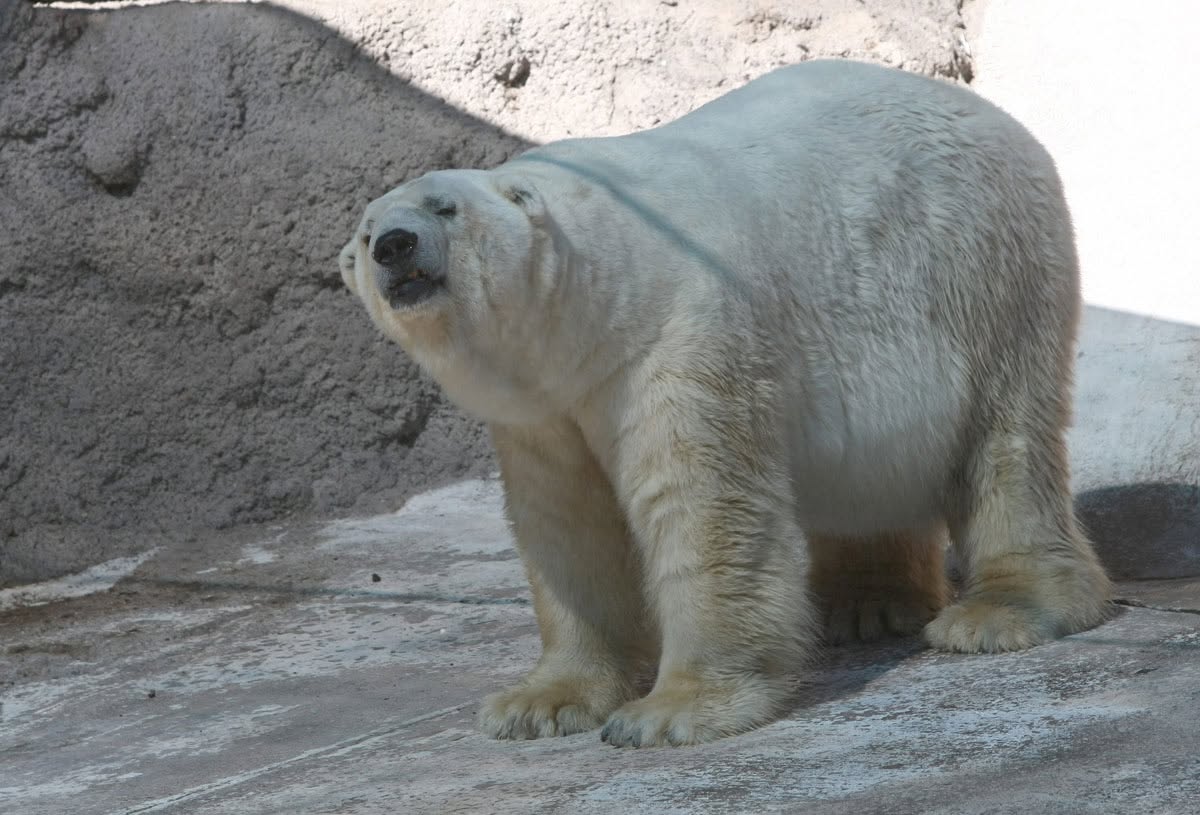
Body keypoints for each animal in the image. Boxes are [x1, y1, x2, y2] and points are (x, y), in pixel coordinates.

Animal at [338, 58, 1113, 747]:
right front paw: (540, 704)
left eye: (445, 207)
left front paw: (669, 712)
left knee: (1005, 439)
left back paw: (998, 613)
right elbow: (566, 524)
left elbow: (701, 503)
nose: (395, 247)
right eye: (366, 231)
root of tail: (997, 116)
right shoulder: (542, 410)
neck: (597, 295)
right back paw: (865, 605)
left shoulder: (679, 332)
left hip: (984, 268)